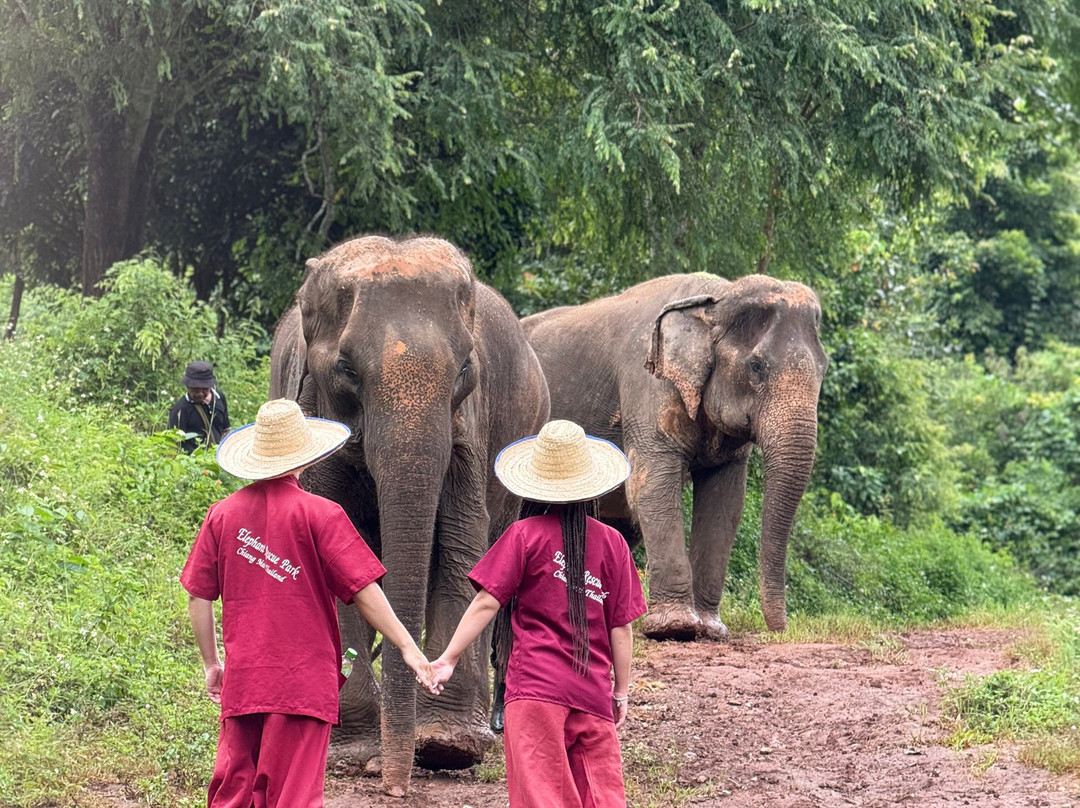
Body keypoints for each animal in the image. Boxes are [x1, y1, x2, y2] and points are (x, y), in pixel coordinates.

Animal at [269, 235, 549, 796]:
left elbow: (461, 542)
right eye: (347, 369)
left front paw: (445, 745)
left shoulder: (469, 427)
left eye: (464, 369)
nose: (394, 786)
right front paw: (353, 754)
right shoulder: (312, 408)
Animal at [521, 273, 827, 641]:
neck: (716, 299)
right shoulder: (646, 386)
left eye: (824, 369)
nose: (780, 629)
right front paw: (676, 627)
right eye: (756, 368)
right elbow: (650, 485)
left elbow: (726, 503)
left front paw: (710, 629)